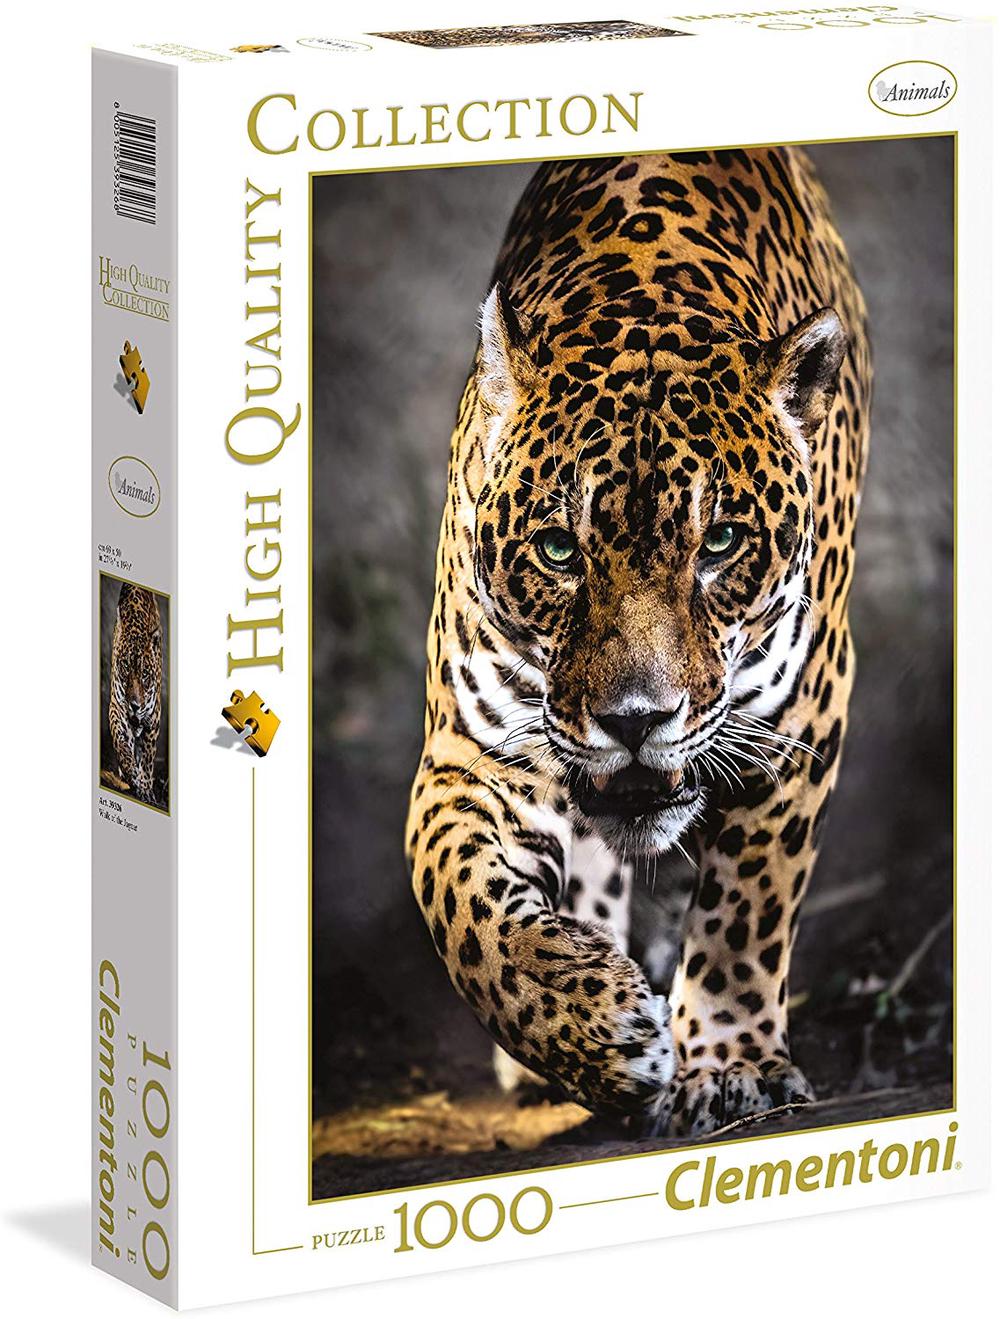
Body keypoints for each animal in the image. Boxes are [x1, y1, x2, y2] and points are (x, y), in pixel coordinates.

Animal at [407, 148, 871, 1136]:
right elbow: (459, 903)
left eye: (721, 543)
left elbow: (747, 906)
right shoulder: (474, 751)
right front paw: (594, 1028)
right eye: (558, 549)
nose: (634, 720)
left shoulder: (800, 717)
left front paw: (728, 1065)